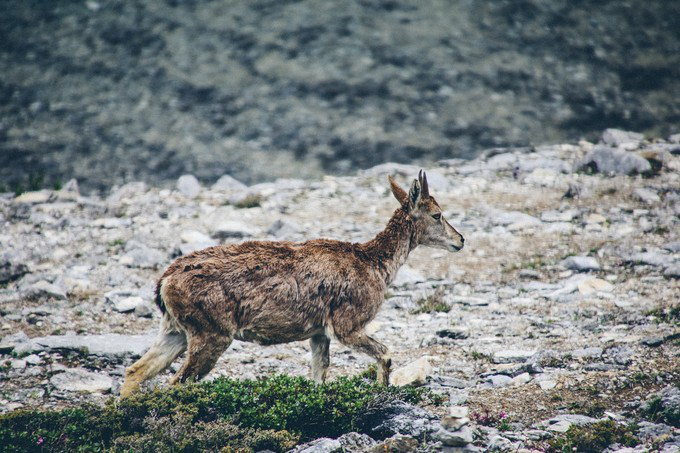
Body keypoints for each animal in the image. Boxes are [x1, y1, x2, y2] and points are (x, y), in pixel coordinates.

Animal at [119, 170, 464, 396]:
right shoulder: (346, 325)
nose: (460, 240)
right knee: (173, 383)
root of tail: (164, 281)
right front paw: (382, 394)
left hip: (176, 330)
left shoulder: (318, 334)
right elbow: (385, 354)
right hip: (210, 333)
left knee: (136, 371)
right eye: (437, 214)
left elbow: (319, 374)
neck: (374, 263)